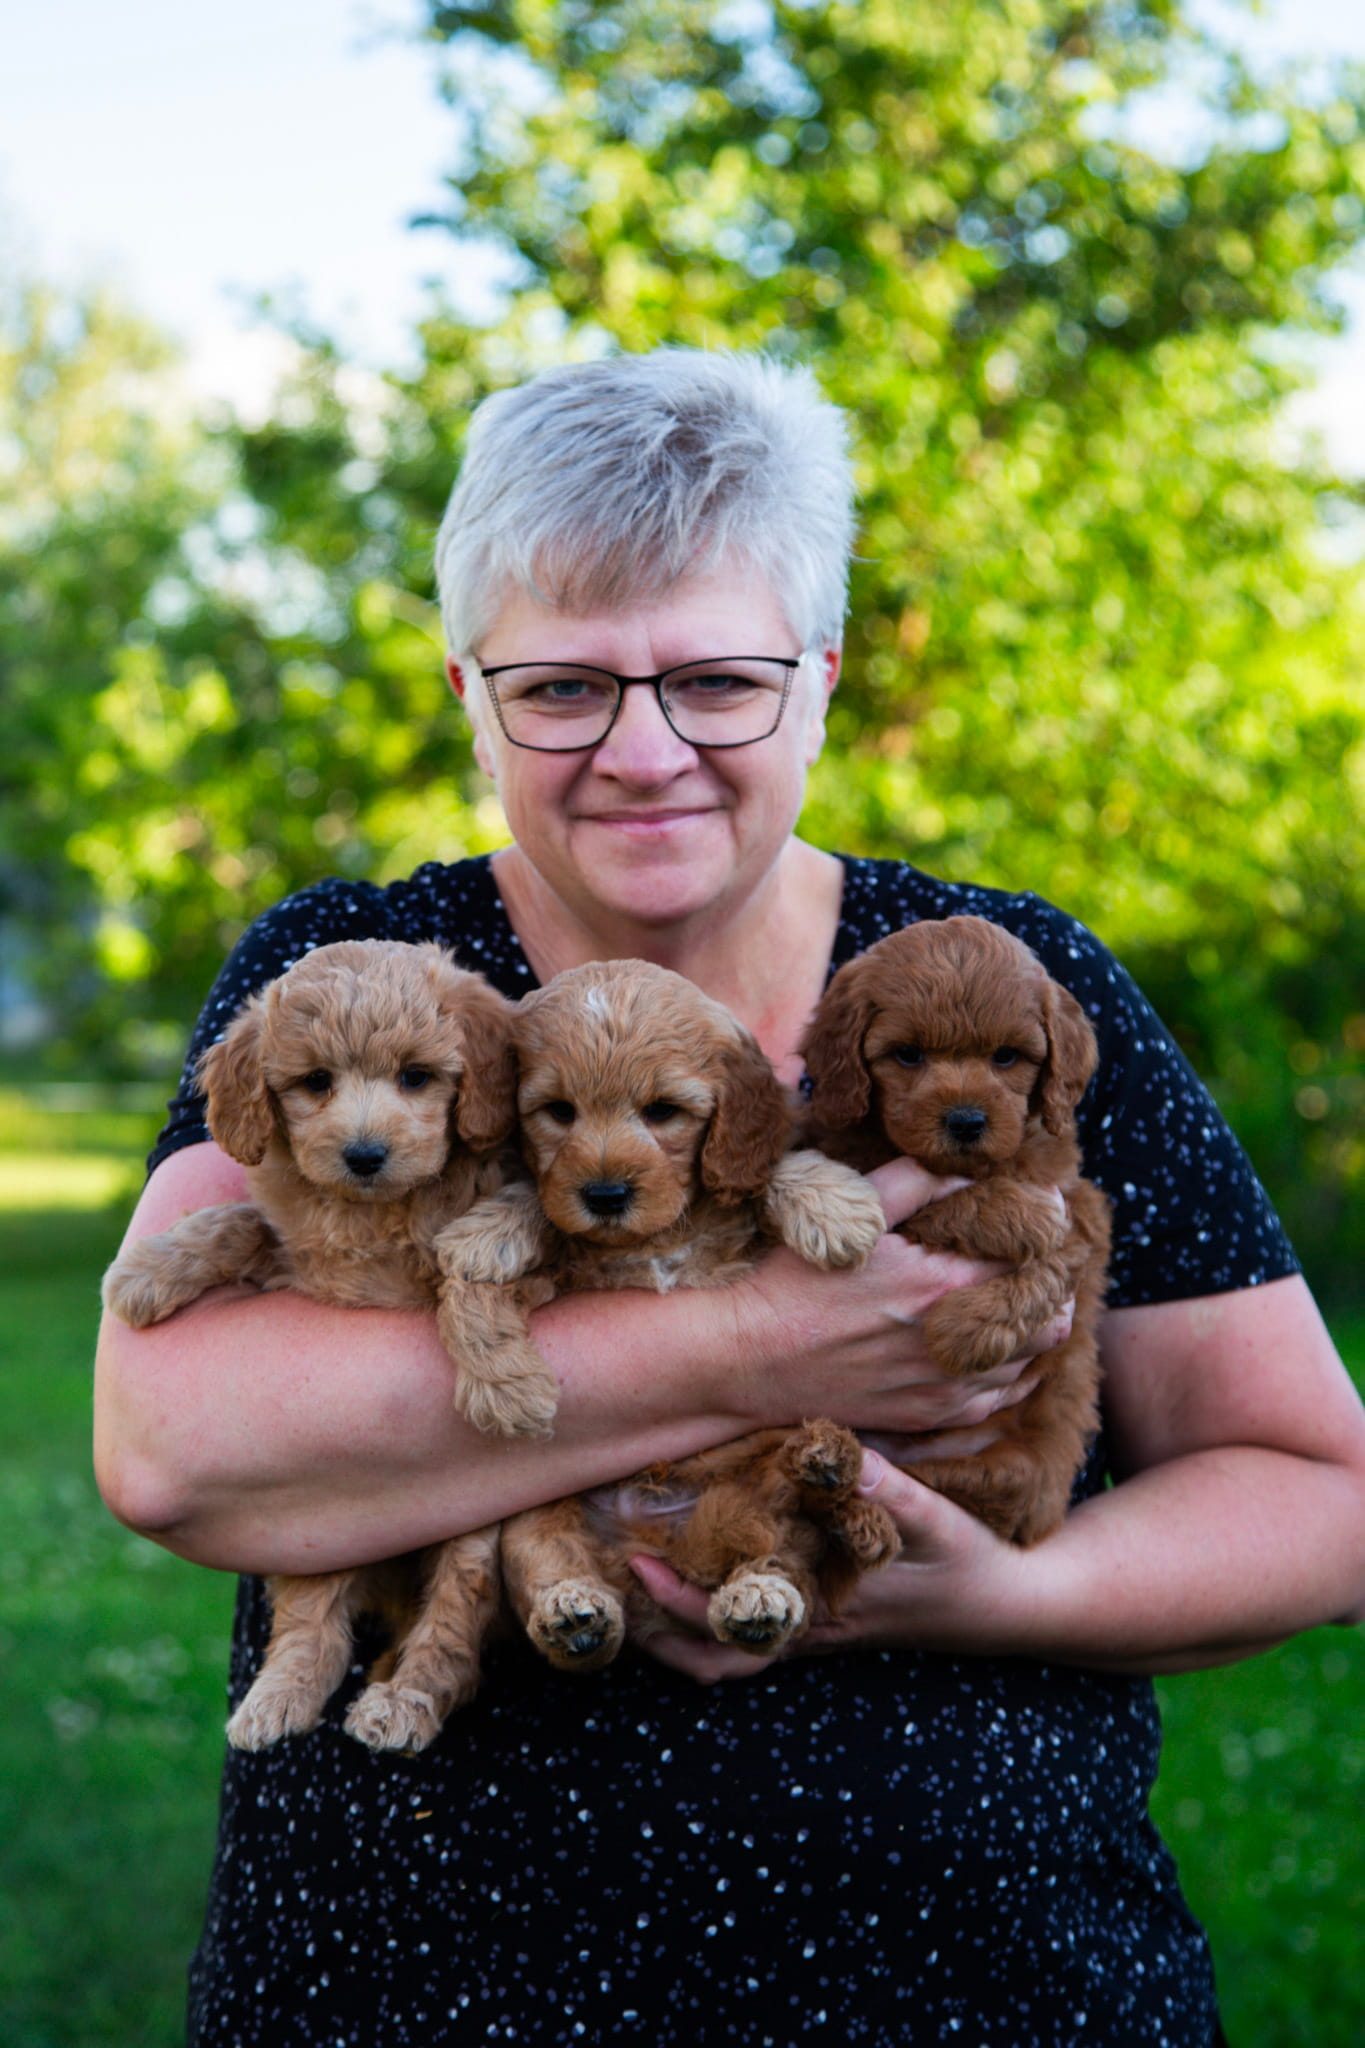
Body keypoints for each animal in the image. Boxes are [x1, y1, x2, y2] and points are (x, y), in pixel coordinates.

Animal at [437, 966, 900, 1671]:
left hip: (774, 1502)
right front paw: (505, 1377)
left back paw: (768, 1579)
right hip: (533, 1510)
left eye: (662, 1111)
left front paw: (829, 1204)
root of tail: (656, 1540)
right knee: (551, 1560)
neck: (652, 1236)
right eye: (559, 1112)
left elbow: (765, 1169)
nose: (605, 1195)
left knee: (783, 1552)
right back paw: (575, 1614)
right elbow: (490, 1275)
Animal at [806, 921, 1113, 1540]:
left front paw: (962, 1329)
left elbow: (1053, 1261)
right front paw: (1015, 1213)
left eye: (1007, 1056)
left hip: (1022, 1468)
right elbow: (941, 1204)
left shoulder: (1080, 1208)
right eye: (907, 1054)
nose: (967, 1121)